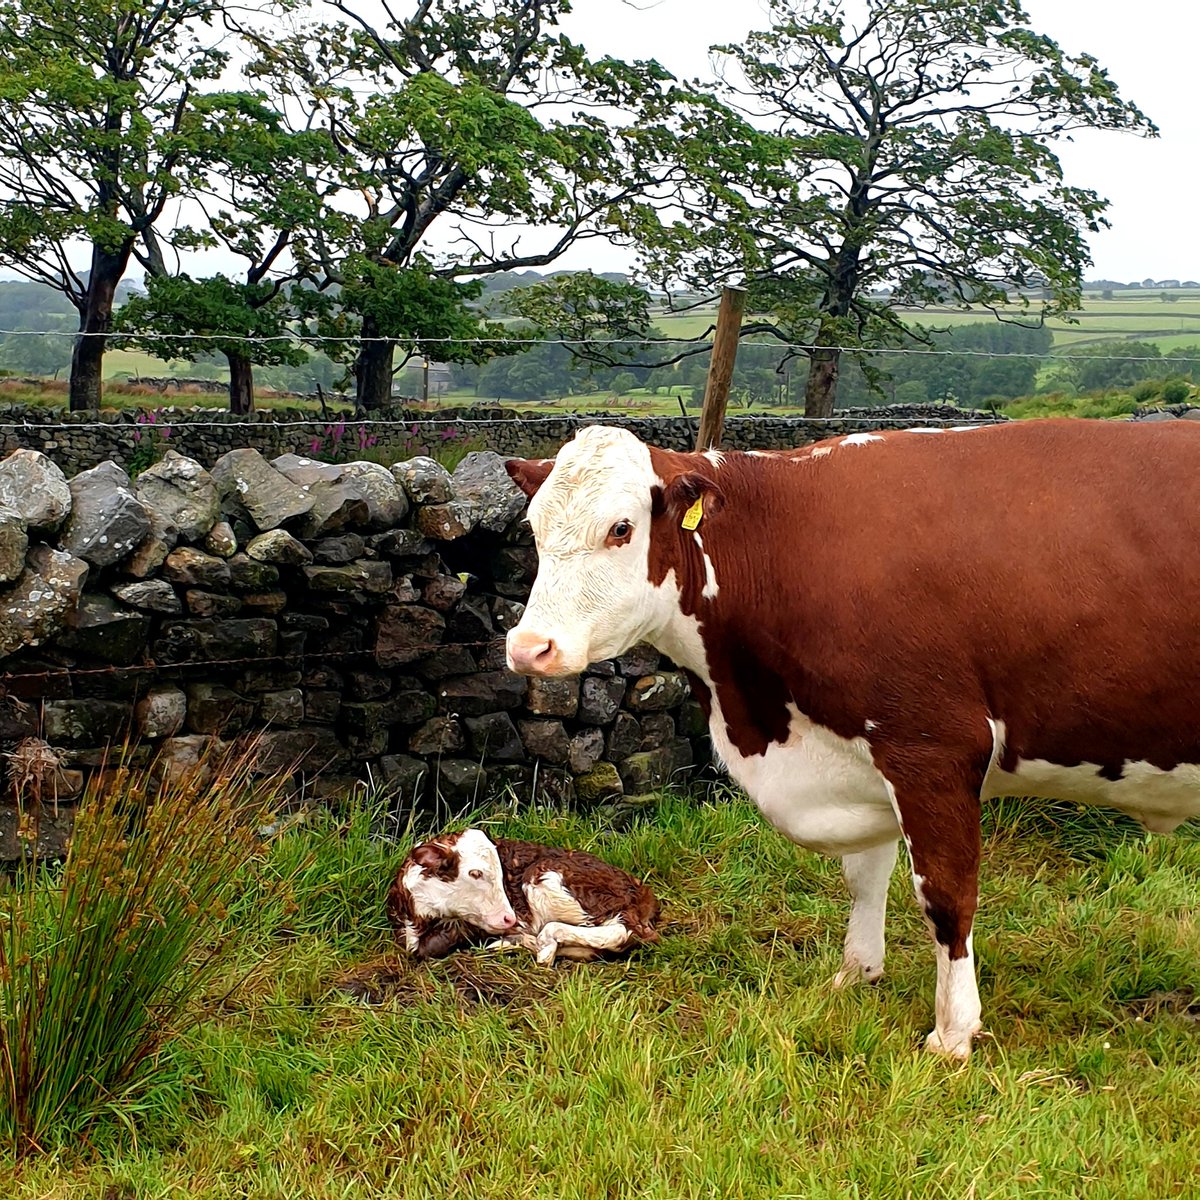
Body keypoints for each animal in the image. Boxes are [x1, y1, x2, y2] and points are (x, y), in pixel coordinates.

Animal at [388, 827, 661, 964]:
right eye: (475, 873)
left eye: (501, 872)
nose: (509, 918)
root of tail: (642, 890)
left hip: (549, 878)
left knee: (625, 932)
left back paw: (543, 944)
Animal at [502, 418, 1200, 1059]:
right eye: (533, 529)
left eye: (621, 528)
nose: (529, 647)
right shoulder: (861, 758)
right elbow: (865, 876)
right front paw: (856, 972)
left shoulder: (933, 748)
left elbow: (946, 896)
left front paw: (953, 1032)